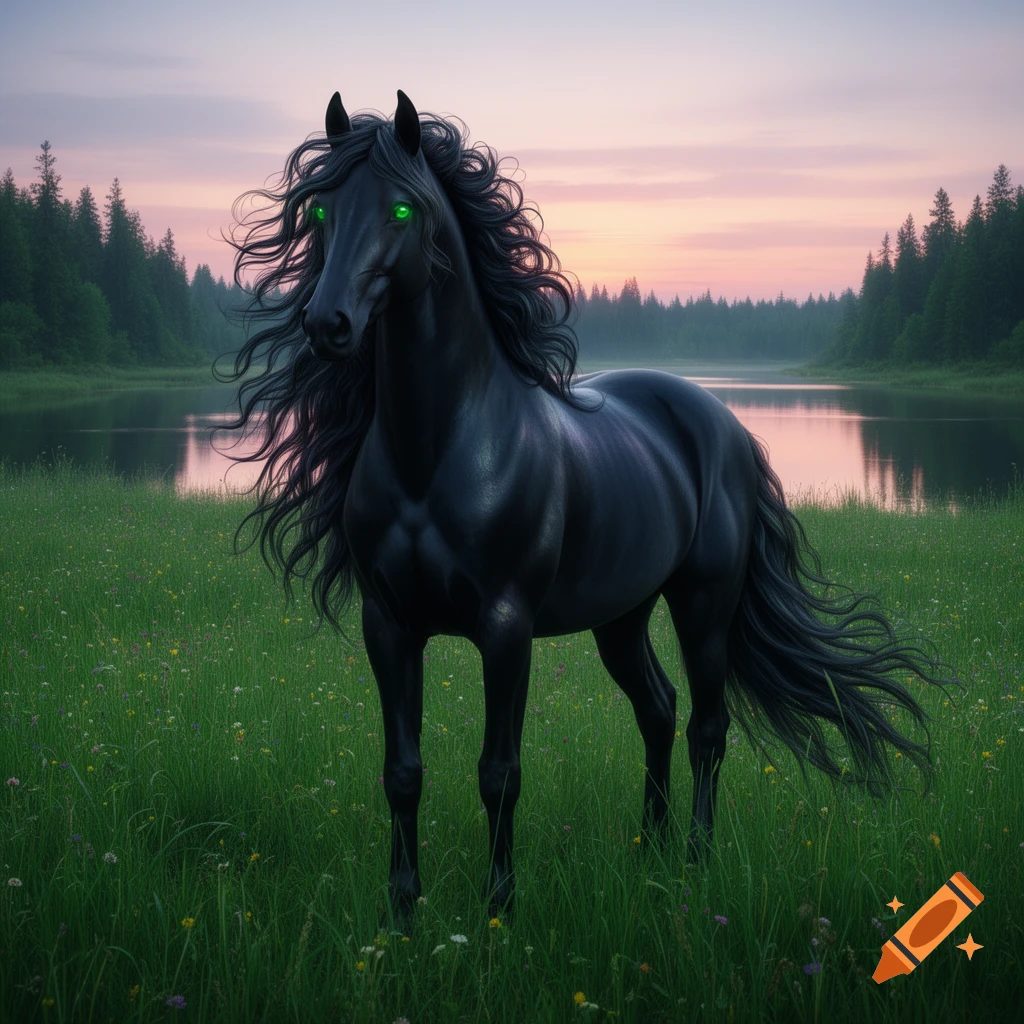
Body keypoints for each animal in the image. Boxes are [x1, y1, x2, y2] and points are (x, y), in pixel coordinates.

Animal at [221, 90, 952, 922]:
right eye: (319, 212)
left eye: (402, 210)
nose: (327, 324)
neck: (434, 455)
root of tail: (725, 425)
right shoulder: (391, 626)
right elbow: (402, 772)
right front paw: (401, 914)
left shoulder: (506, 629)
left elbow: (499, 772)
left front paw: (499, 909)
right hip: (622, 614)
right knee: (657, 709)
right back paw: (651, 850)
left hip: (704, 605)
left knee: (706, 726)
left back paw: (694, 860)